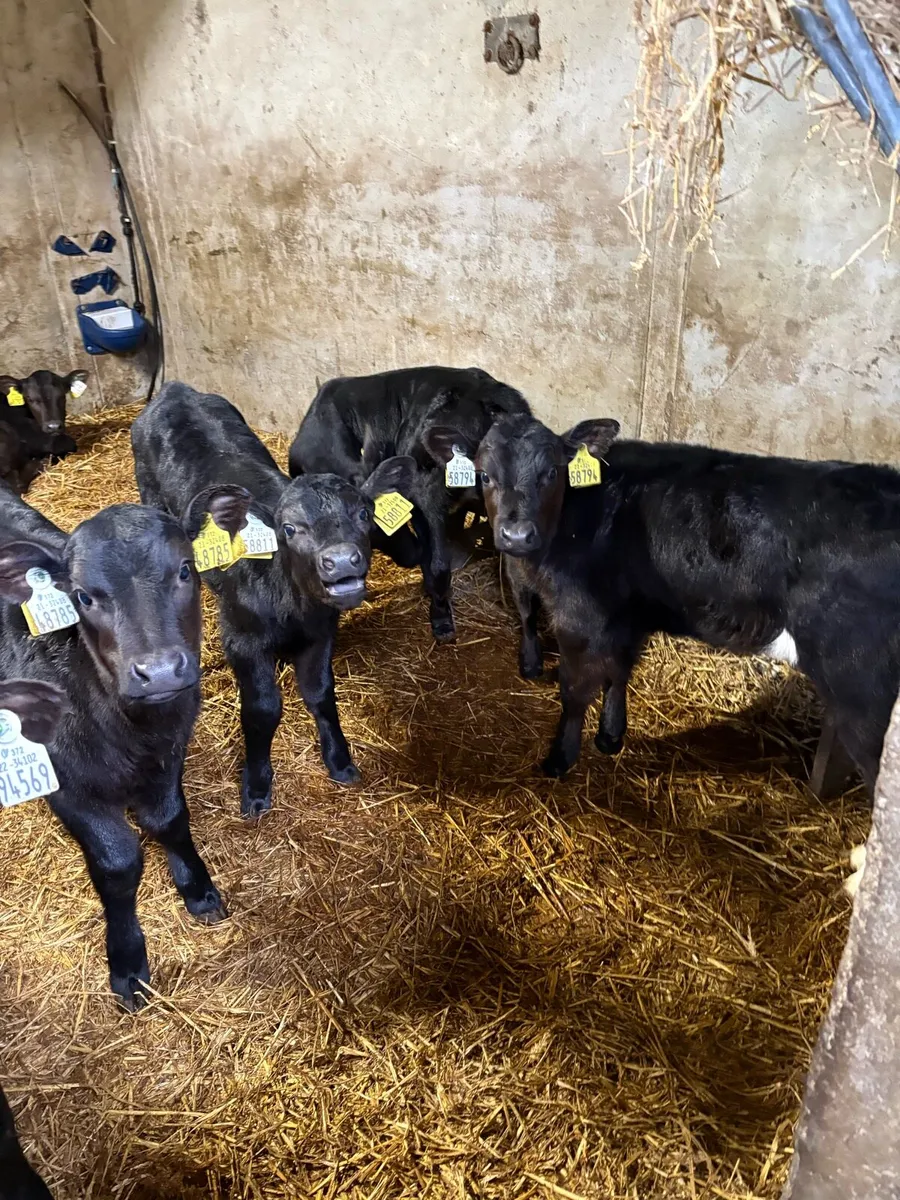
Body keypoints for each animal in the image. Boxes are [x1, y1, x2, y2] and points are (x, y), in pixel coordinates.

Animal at [0, 483, 251, 1009]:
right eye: (83, 596)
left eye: (185, 569)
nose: (159, 671)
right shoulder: (69, 785)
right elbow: (118, 862)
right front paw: (128, 962)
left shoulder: (169, 753)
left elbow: (170, 820)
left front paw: (198, 889)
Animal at [131, 381, 416, 817]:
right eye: (289, 528)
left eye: (364, 514)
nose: (341, 560)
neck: (293, 606)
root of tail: (174, 389)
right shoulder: (241, 639)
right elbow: (263, 708)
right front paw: (257, 786)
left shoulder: (321, 632)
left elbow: (320, 693)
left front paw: (340, 761)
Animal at [465, 411, 900, 788]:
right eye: (484, 475)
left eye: (552, 473)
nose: (517, 535)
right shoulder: (626, 614)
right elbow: (618, 671)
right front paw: (610, 736)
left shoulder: (580, 619)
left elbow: (574, 689)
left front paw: (560, 758)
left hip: (864, 694)